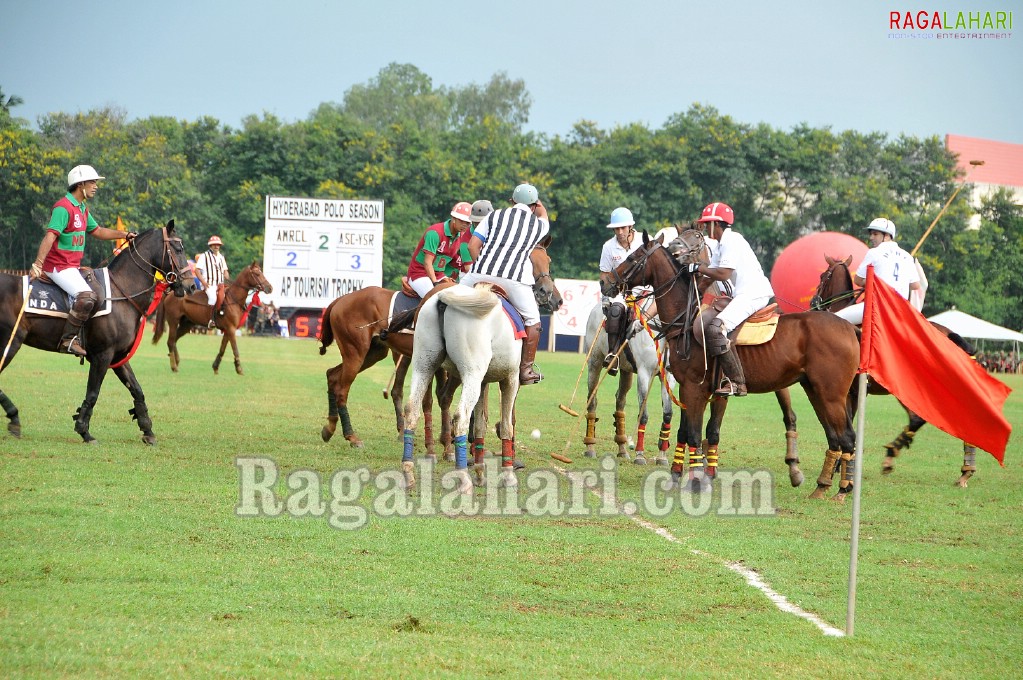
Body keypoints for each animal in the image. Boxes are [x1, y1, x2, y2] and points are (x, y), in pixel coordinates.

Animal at [0, 222, 194, 443]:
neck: (123, 293)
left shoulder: (118, 356)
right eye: (178, 249)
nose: (191, 286)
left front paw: (148, 431)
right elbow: (93, 393)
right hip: (11, 342)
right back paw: (14, 418)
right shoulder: (103, 355)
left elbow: (137, 390)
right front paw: (84, 430)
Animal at [601, 233, 859, 499]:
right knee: (835, 435)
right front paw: (679, 477)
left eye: (633, 257)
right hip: (814, 389)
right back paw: (821, 487)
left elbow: (694, 433)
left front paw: (695, 482)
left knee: (847, 436)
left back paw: (842, 490)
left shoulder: (694, 387)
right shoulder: (701, 390)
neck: (686, 321)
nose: (604, 282)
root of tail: (850, 327)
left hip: (831, 394)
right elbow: (692, 432)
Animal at [810, 251, 977, 484]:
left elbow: (845, 424)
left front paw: (838, 467)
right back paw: (965, 471)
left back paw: (892, 454)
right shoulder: (854, 392)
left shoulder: (846, 392)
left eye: (822, 276)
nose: (813, 301)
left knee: (918, 418)